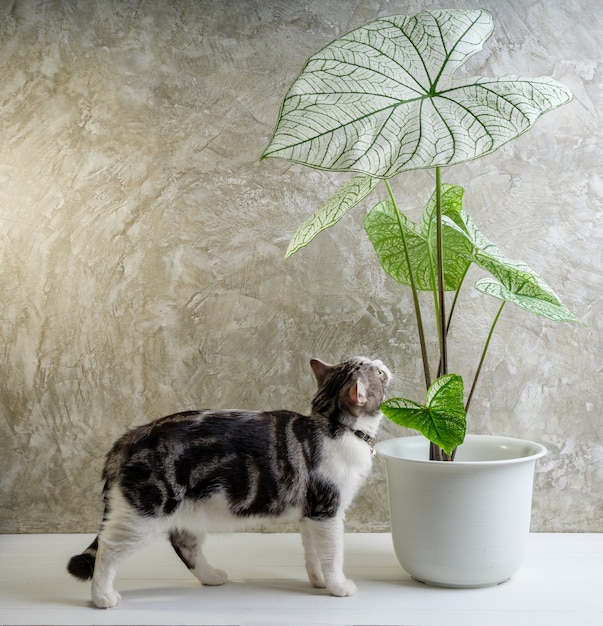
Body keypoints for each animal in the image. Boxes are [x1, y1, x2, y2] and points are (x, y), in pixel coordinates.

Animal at [67, 356, 392, 604]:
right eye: (376, 372)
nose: (381, 362)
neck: (332, 424)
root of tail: (131, 436)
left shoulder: (310, 515)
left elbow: (313, 554)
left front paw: (319, 581)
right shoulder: (328, 511)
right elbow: (333, 554)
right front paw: (338, 586)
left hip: (190, 511)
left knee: (184, 545)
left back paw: (211, 577)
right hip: (145, 511)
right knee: (108, 549)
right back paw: (102, 597)